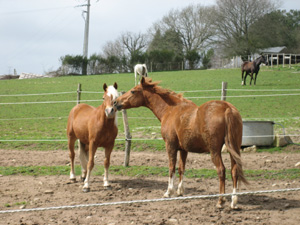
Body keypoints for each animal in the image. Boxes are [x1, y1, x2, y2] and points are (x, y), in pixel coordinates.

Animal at [113, 78, 247, 209]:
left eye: (133, 91)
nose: (115, 102)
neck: (171, 110)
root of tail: (227, 108)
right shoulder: (183, 149)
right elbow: (181, 168)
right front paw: (180, 191)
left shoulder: (170, 146)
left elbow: (171, 167)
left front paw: (168, 192)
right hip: (234, 149)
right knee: (234, 171)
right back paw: (234, 201)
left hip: (215, 151)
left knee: (221, 171)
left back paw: (220, 201)